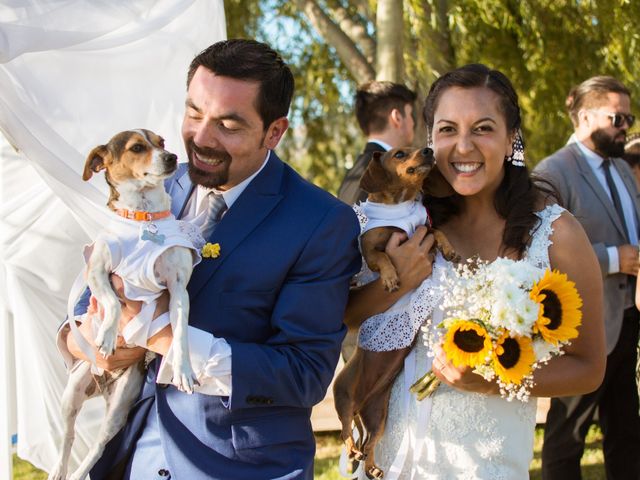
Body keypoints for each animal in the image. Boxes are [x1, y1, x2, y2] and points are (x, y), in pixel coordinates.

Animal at [48, 129, 201, 480]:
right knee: (67, 437)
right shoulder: (97, 271)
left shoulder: (178, 290)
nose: (172, 157)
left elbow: (180, 334)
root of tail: (101, 385)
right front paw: (105, 335)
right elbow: (112, 303)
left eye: (162, 142)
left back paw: (77, 473)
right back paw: (59, 470)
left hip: (119, 408)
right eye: (137, 147)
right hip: (71, 393)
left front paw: (183, 370)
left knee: (96, 446)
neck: (144, 219)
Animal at [336, 147, 456, 480]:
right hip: (343, 397)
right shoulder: (371, 250)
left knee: (368, 444)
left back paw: (373, 467)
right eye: (399, 153)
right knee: (347, 433)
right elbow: (383, 257)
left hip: (379, 417)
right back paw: (351, 453)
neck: (401, 206)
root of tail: (362, 403)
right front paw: (390, 277)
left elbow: (436, 230)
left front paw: (449, 247)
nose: (429, 150)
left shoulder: (425, 232)